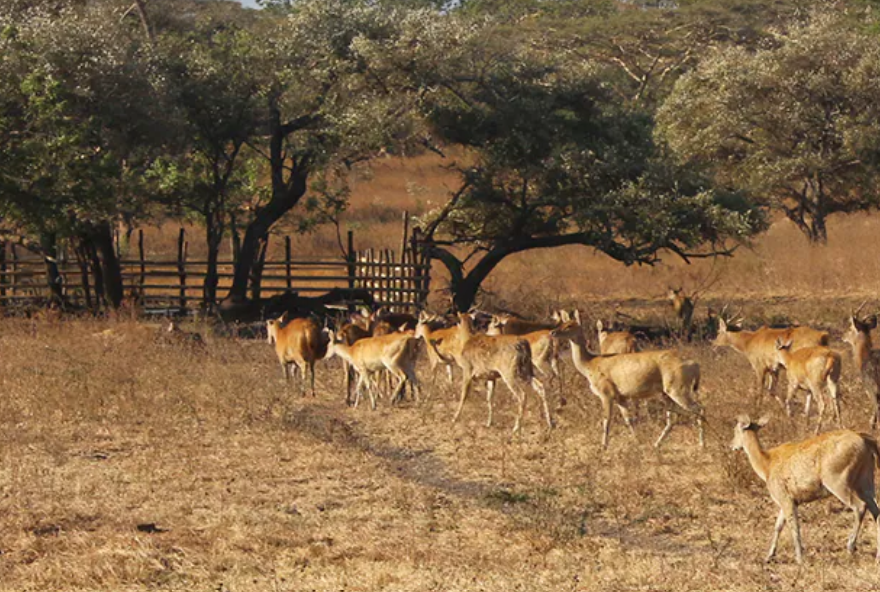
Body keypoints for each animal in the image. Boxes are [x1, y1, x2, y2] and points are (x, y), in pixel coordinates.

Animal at [552, 320, 704, 448]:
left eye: (569, 325)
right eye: (562, 322)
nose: (553, 332)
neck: (590, 365)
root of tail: (695, 365)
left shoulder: (606, 393)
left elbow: (606, 420)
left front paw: (603, 447)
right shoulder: (621, 397)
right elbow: (628, 419)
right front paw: (637, 441)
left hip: (677, 388)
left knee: (698, 409)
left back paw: (702, 445)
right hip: (666, 393)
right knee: (672, 419)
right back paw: (656, 444)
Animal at [728, 416, 880, 564]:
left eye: (736, 430)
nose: (731, 445)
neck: (766, 467)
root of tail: (867, 441)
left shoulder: (784, 496)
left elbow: (794, 526)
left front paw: (799, 558)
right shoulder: (789, 499)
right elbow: (778, 525)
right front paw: (769, 556)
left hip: (837, 479)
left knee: (860, 506)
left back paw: (850, 547)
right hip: (865, 480)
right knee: (875, 509)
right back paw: (877, 555)